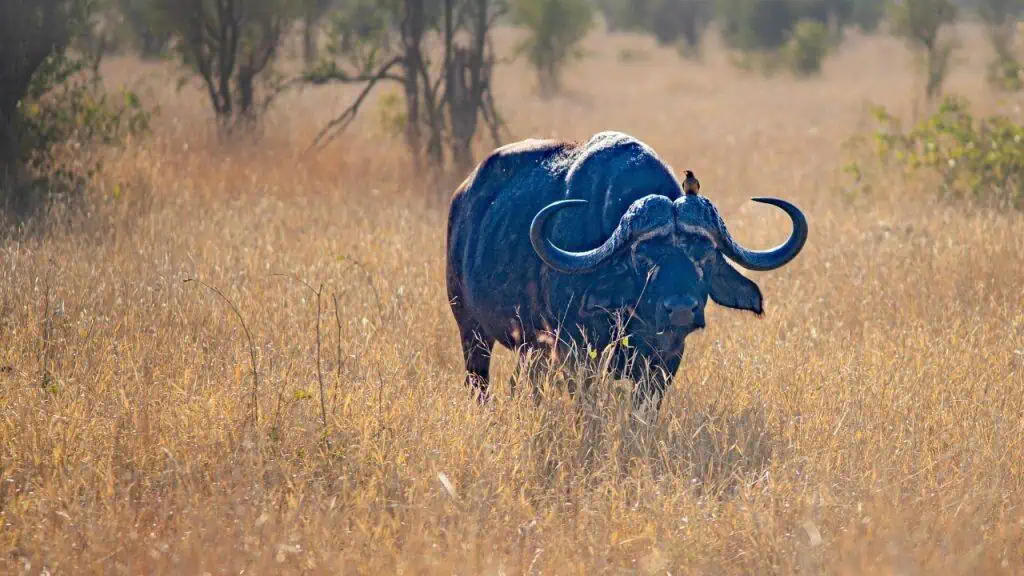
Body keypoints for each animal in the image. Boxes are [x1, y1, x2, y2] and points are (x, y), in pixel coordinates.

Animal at [445, 131, 808, 409]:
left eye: (704, 256)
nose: (681, 310)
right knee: (478, 382)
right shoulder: (577, 353)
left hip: (529, 348)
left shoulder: (666, 359)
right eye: (642, 257)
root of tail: (463, 196)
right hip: (470, 329)